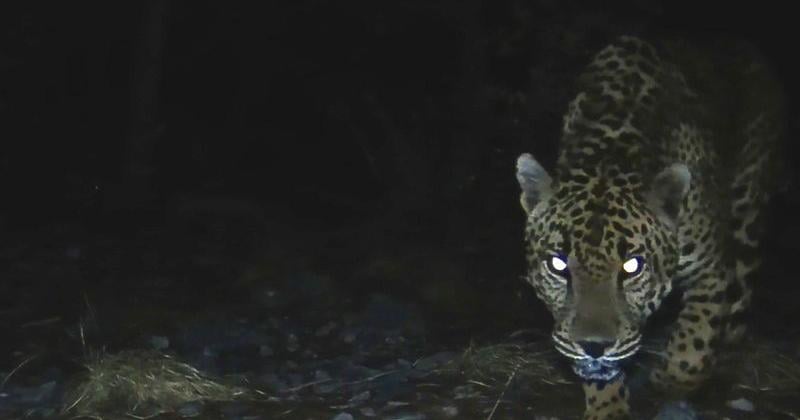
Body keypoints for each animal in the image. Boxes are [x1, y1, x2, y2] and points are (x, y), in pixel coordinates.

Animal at [515, 36, 783, 419]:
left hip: (747, 208)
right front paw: (608, 407)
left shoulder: (711, 271)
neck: (609, 154)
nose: (593, 346)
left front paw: (670, 386)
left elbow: (694, 342)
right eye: (558, 264)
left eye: (632, 267)